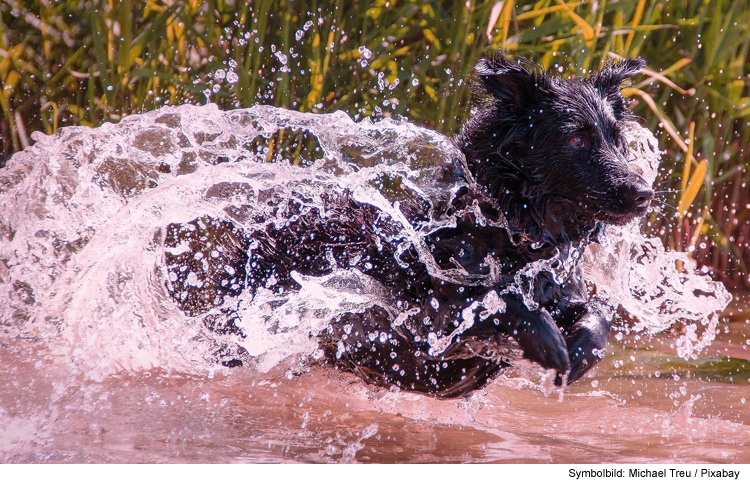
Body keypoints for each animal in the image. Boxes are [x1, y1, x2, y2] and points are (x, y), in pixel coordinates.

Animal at [163, 53, 652, 398]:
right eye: (575, 139)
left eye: (618, 140)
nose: (644, 193)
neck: (505, 230)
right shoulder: (423, 322)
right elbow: (498, 302)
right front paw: (547, 337)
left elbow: (598, 315)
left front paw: (583, 348)